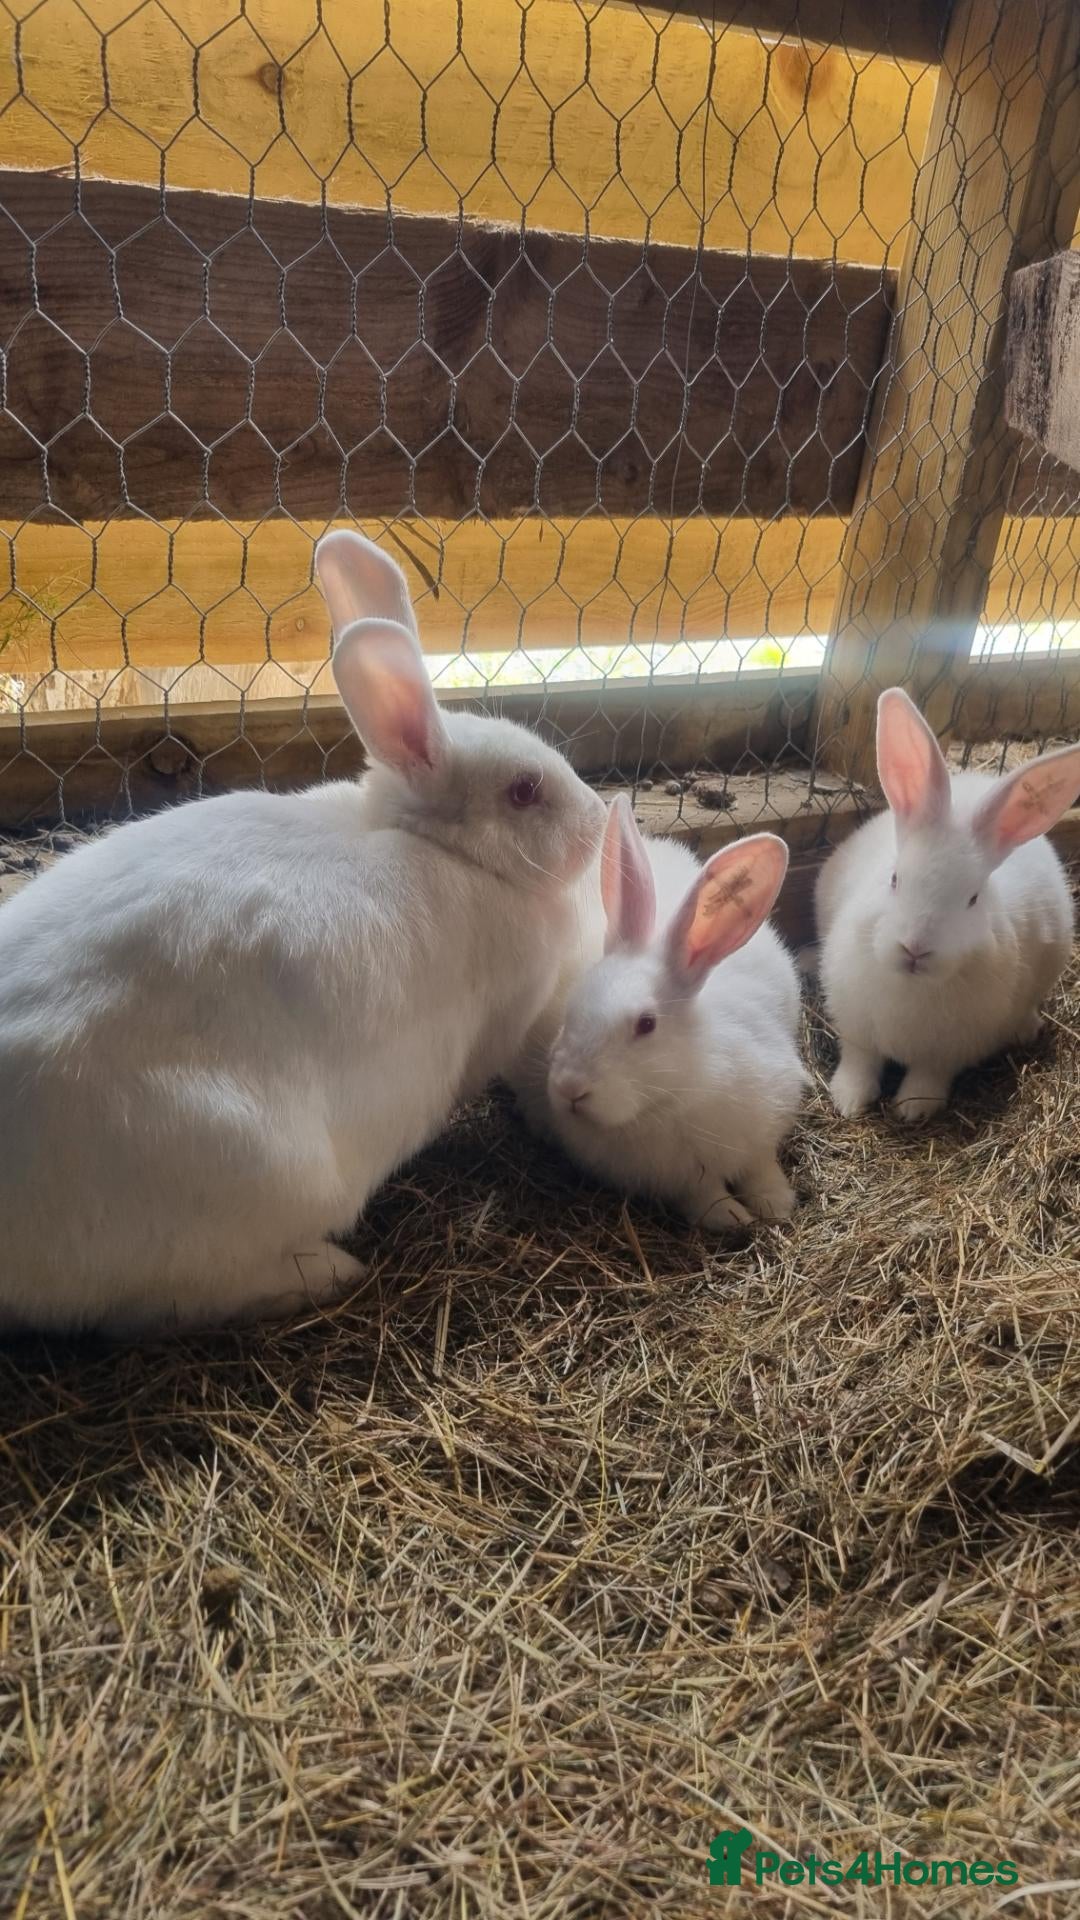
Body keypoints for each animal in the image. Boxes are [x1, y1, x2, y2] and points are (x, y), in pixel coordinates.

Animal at [541, 794, 807, 1231]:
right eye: (571, 1011)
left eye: (646, 1024)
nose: (570, 1089)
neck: (672, 1096)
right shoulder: (679, 1179)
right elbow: (705, 1196)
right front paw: (734, 1217)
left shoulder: (763, 1130)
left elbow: (761, 1168)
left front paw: (776, 1203)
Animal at [816, 685, 1080, 1123]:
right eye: (895, 879)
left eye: (972, 898)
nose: (915, 949)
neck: (912, 985)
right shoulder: (856, 1026)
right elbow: (860, 1061)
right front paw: (848, 1101)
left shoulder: (950, 1050)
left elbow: (929, 1075)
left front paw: (913, 1109)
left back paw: (1026, 1028)